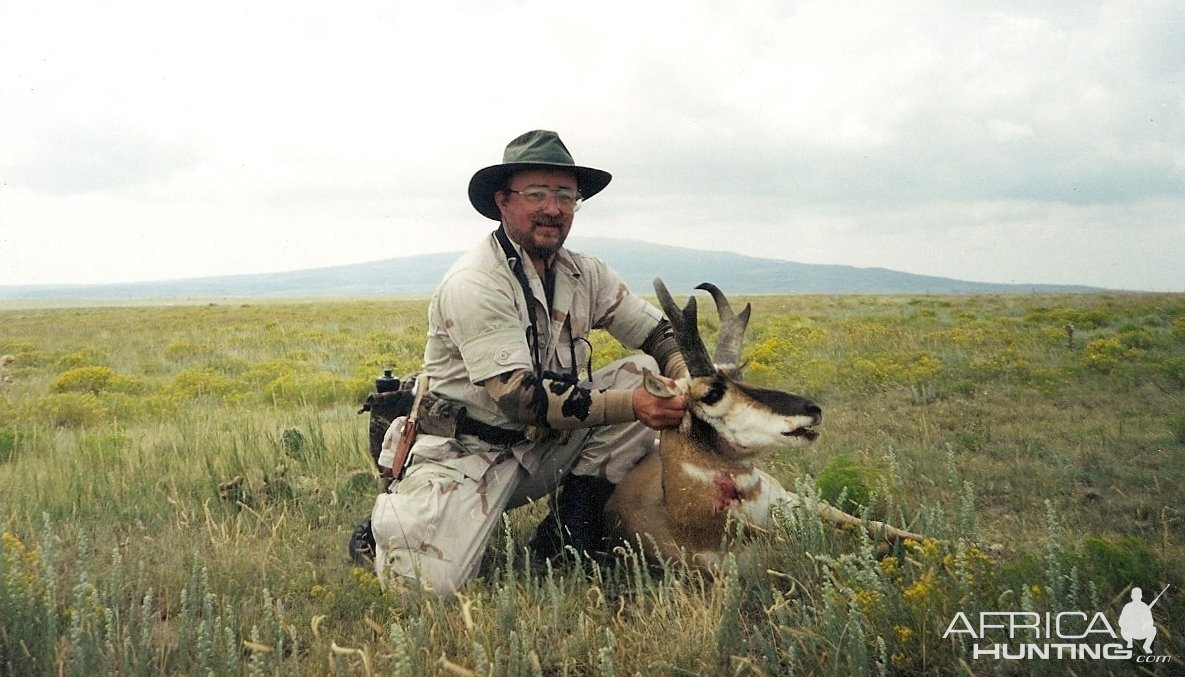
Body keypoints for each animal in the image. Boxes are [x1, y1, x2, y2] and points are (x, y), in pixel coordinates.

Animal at [601, 279, 924, 571]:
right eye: (712, 394)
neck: (678, 517)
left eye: (741, 378)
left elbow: (880, 526)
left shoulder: (801, 502)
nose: (813, 409)